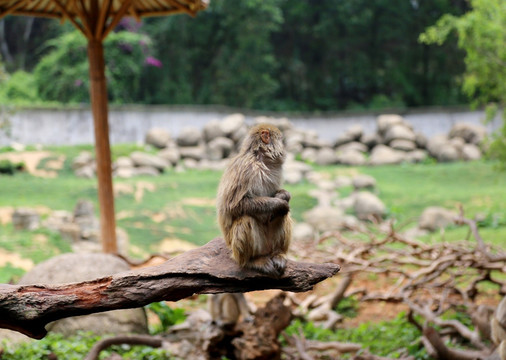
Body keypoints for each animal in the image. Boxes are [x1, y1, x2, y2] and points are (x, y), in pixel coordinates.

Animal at [216, 122, 292, 278]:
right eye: (281, 140)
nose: (285, 147)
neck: (260, 159)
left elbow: (277, 193)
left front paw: (284, 196)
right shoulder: (246, 169)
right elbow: (234, 205)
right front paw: (279, 203)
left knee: (283, 215)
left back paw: (278, 254)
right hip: (238, 250)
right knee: (246, 219)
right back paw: (252, 260)